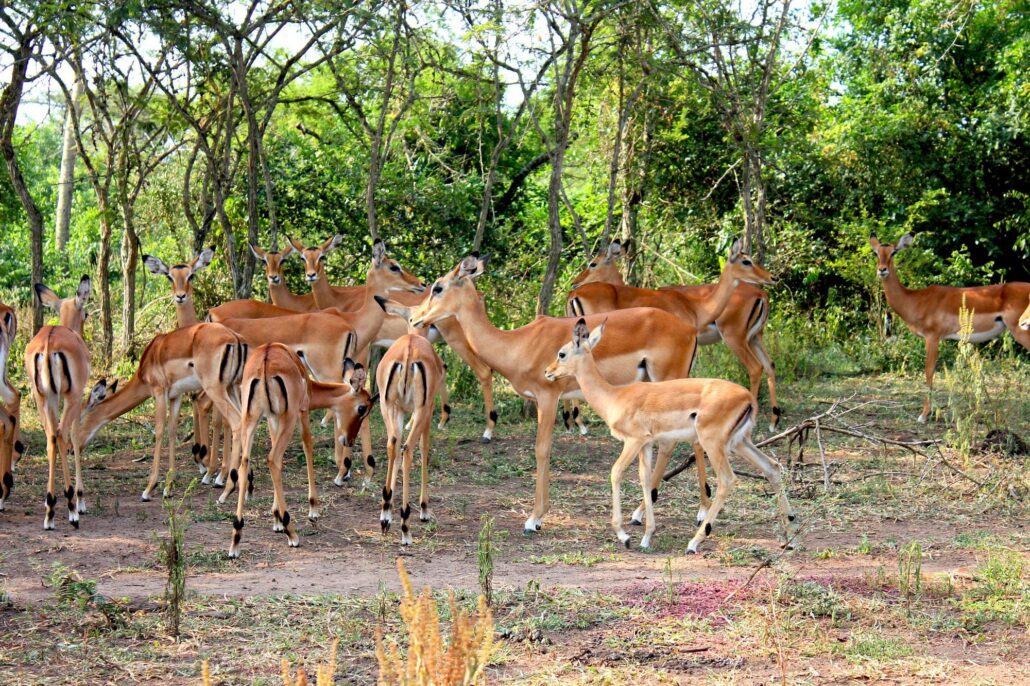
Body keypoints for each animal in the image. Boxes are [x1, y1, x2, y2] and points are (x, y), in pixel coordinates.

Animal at [23, 276, 91, 525]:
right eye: (86, 313)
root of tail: (48, 343)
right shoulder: (77, 396)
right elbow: (75, 436)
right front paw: (80, 501)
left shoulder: (53, 397)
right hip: (69, 398)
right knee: (62, 434)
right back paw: (71, 507)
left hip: (42, 397)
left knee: (51, 437)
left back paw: (50, 509)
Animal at [227, 341, 372, 556]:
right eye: (362, 408)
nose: (350, 440)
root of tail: (265, 363)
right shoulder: (302, 412)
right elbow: (308, 446)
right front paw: (313, 511)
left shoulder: (273, 418)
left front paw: (276, 519)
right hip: (288, 418)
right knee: (273, 459)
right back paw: (292, 534)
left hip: (250, 419)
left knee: (246, 464)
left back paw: (236, 538)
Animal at [376, 302, 444, 543]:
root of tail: (408, 352)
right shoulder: (427, 411)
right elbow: (425, 449)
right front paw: (424, 510)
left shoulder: (401, 411)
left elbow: (394, 450)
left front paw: (387, 515)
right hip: (420, 410)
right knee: (408, 450)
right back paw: (406, 524)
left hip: (387, 407)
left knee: (393, 445)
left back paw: (386, 515)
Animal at [547, 319, 795, 552]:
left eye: (562, 353)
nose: (548, 372)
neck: (615, 397)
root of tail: (748, 398)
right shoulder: (646, 444)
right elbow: (646, 480)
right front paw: (646, 536)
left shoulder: (633, 441)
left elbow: (616, 472)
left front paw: (624, 536)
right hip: (740, 442)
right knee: (772, 467)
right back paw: (789, 538)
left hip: (713, 443)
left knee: (727, 480)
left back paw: (694, 543)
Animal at [869, 232, 1030, 420]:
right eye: (876, 253)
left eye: (894, 252)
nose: (882, 270)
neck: (915, 300)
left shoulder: (932, 337)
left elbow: (929, 371)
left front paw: (924, 415)